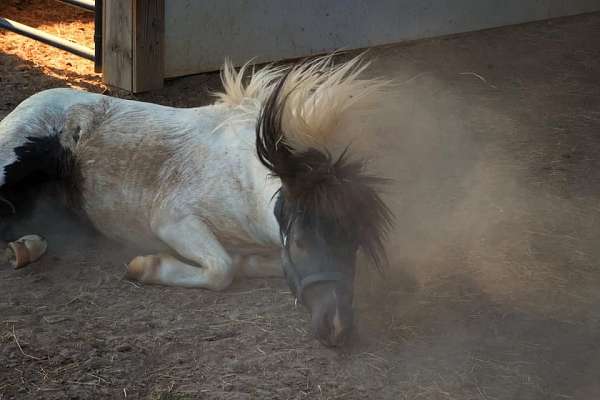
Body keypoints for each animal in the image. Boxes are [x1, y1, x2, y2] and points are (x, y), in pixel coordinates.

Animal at [0, 54, 392, 346]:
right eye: (300, 241)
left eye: (354, 243)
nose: (338, 327)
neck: (243, 176)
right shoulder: (174, 222)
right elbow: (221, 269)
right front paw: (144, 267)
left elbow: (245, 264)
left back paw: (24, 247)